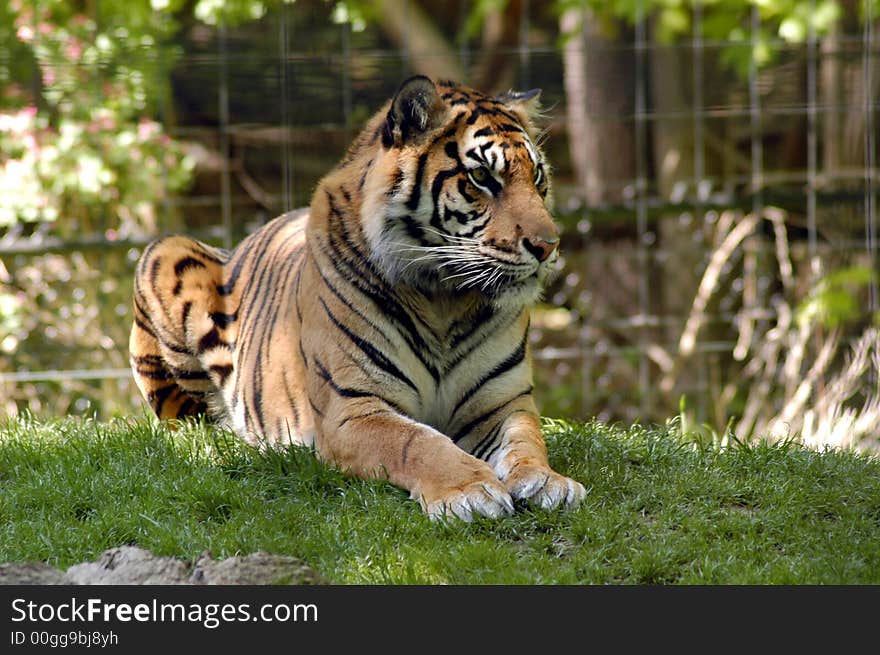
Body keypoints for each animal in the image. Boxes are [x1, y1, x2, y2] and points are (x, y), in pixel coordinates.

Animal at [129, 74, 584, 520]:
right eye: (483, 178)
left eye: (537, 178)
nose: (548, 246)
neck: (444, 299)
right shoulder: (353, 409)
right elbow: (418, 442)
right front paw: (469, 490)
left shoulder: (504, 403)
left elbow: (526, 442)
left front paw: (549, 482)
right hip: (165, 255)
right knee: (187, 422)